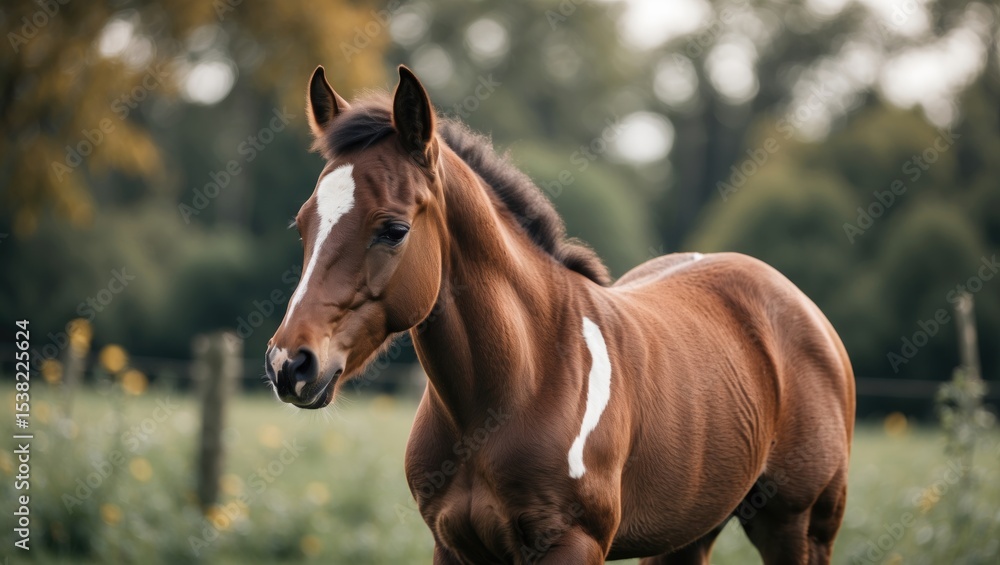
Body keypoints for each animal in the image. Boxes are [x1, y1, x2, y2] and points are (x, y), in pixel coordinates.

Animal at [265, 65, 855, 564]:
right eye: (302, 223)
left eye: (393, 229)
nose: (289, 364)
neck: (517, 387)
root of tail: (806, 313)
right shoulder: (453, 546)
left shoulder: (573, 544)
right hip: (690, 533)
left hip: (798, 526)